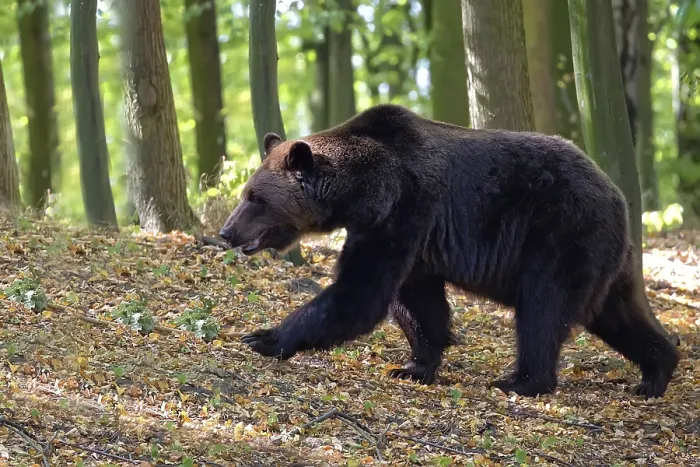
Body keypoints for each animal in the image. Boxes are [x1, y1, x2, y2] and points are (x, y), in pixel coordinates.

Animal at [218, 104, 680, 398]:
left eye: (256, 197)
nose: (226, 231)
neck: (362, 190)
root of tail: (618, 196)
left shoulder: (403, 209)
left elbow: (360, 293)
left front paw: (263, 336)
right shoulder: (414, 236)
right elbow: (416, 302)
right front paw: (413, 365)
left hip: (561, 232)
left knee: (543, 307)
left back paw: (522, 380)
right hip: (604, 256)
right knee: (616, 312)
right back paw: (656, 373)